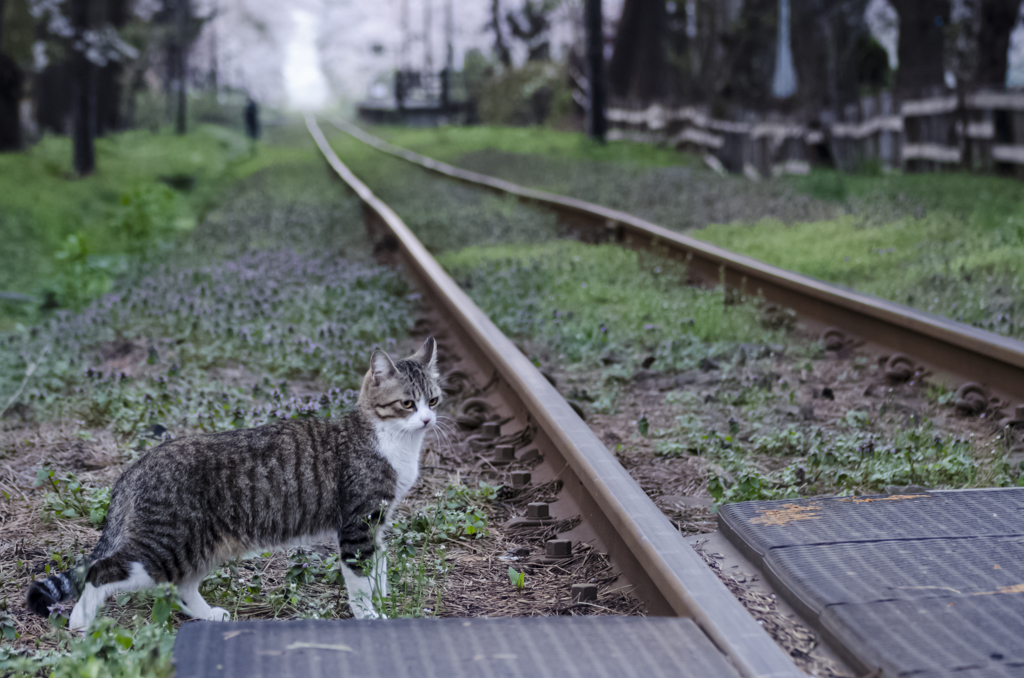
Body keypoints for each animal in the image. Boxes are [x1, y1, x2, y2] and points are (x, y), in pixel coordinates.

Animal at [27, 337, 440, 630]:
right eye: (407, 404)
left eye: (433, 400)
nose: (427, 420)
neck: (391, 441)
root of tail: (138, 465)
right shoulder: (358, 525)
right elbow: (360, 580)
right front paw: (369, 615)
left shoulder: (378, 523)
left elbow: (378, 573)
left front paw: (385, 604)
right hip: (164, 548)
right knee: (101, 571)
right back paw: (80, 622)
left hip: (200, 547)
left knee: (180, 586)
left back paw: (209, 615)